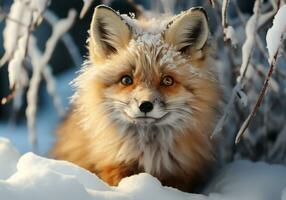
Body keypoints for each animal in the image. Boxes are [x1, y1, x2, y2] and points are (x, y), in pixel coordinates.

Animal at [52, 4, 221, 192]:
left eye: (167, 80)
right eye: (126, 80)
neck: (148, 154)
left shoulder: (181, 174)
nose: (145, 105)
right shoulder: (114, 166)